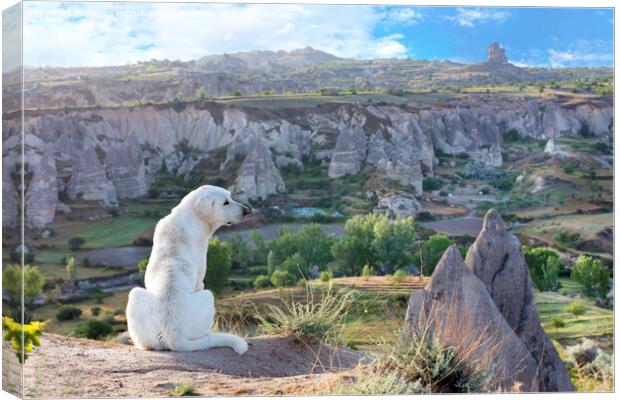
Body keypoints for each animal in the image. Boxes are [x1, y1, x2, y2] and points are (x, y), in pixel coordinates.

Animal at [124, 185, 251, 354]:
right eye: (225, 202)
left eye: (230, 197)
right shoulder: (200, 282)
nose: (247, 211)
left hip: (135, 295)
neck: (191, 216)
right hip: (208, 296)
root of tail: (173, 333)